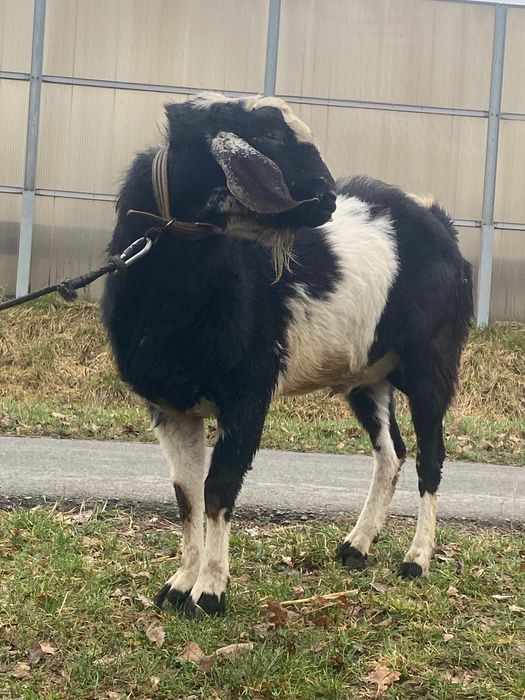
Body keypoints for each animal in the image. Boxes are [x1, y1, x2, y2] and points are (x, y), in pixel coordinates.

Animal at [102, 92, 473, 617]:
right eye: (271, 135)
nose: (329, 197)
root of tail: (438, 223)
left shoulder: (247, 394)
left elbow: (219, 488)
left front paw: (209, 593)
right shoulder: (170, 405)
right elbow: (186, 494)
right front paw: (178, 586)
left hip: (431, 362)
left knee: (431, 457)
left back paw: (416, 558)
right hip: (369, 374)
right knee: (391, 453)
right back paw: (356, 546)